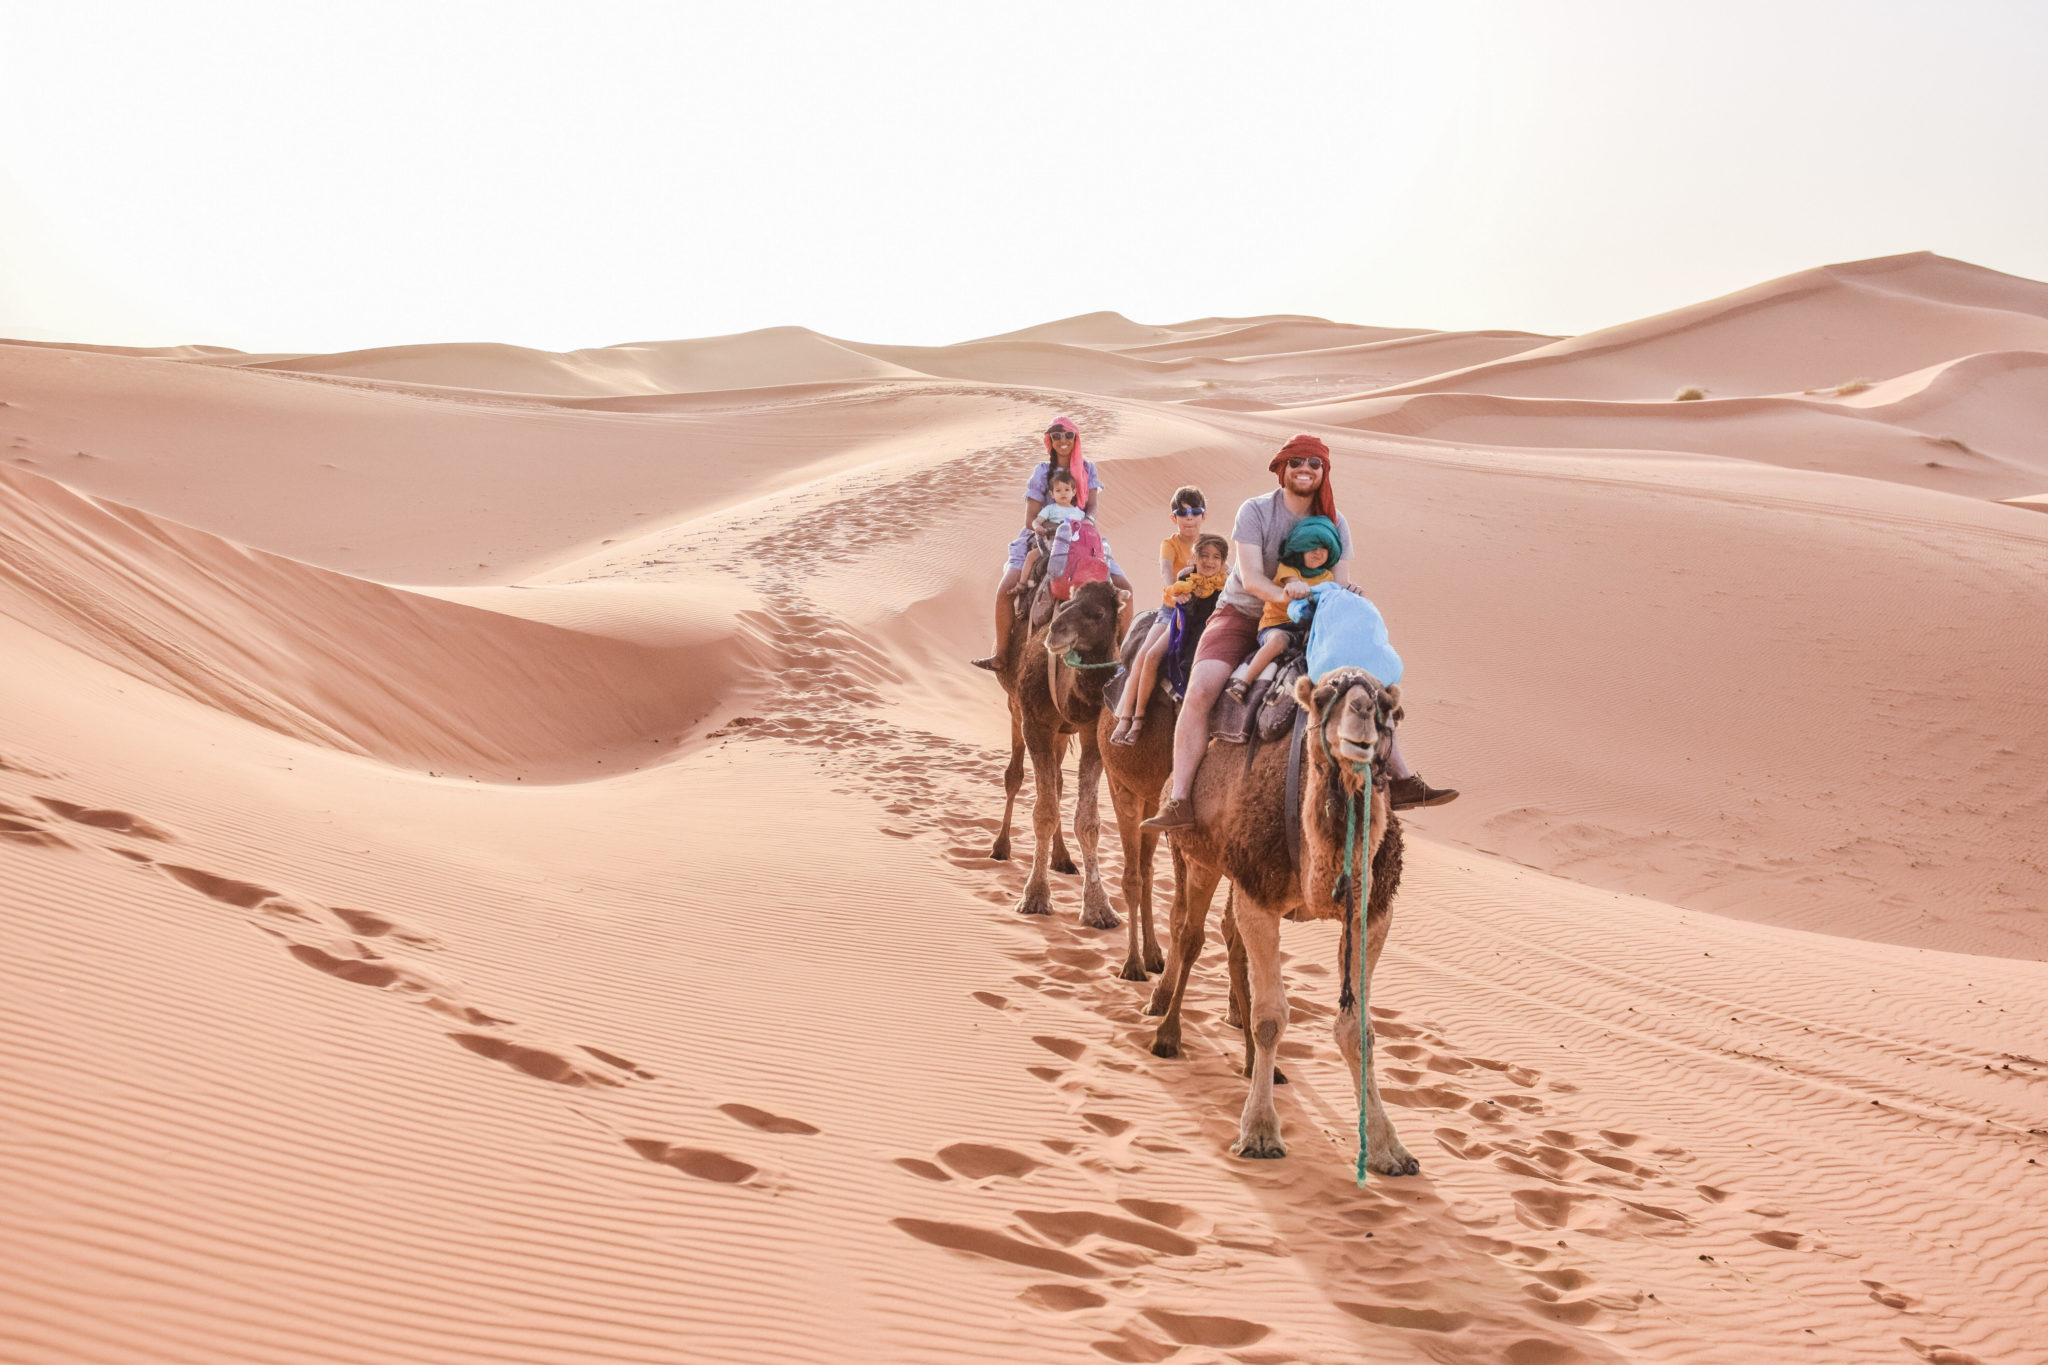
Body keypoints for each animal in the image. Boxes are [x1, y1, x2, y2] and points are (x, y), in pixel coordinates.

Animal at [991, 577, 1122, 929]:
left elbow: (1088, 822)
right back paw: (1000, 847)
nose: (1056, 632)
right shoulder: (1035, 723)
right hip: (1015, 706)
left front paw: (1099, 909)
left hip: (1061, 734)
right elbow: (1043, 813)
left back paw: (1062, 858)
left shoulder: (1092, 733)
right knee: (1014, 776)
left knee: (1058, 783)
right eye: (1066, 606)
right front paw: (1035, 897)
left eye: (1098, 613)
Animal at [1146, 671, 1417, 1178]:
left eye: (1390, 708)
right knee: (1188, 932)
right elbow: (1270, 1017)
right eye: (1324, 698)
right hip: (1196, 852)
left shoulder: (1372, 912)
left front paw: (1389, 1148)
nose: (1362, 717)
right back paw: (1166, 1030)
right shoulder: (1257, 892)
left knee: (1229, 941)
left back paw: (1260, 1066)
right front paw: (1259, 1133)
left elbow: (1360, 1030)